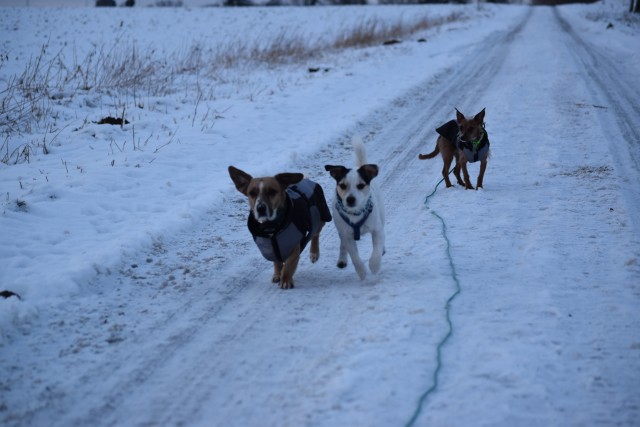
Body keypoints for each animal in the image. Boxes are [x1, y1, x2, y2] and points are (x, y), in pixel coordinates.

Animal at [324, 138, 384, 280]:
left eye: (361, 185)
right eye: (342, 185)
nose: (350, 199)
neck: (355, 213)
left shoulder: (376, 229)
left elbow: (377, 249)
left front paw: (374, 265)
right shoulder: (347, 235)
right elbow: (355, 257)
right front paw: (362, 272)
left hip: (381, 213)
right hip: (340, 230)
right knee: (342, 244)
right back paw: (342, 260)